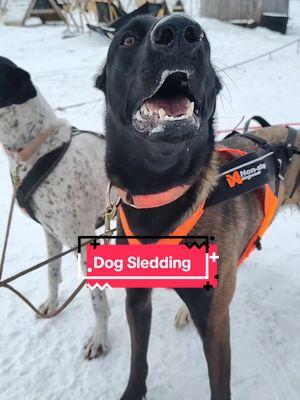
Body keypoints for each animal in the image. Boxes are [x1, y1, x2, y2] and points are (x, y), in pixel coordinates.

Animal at [0, 56, 110, 360]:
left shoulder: (83, 239)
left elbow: (97, 297)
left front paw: (99, 337)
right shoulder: (51, 233)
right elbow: (52, 273)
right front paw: (52, 305)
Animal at [95, 13, 300, 400]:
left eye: (203, 41)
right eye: (127, 39)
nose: (179, 31)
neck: (161, 192)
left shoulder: (216, 323)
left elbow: (219, 385)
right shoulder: (137, 299)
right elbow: (138, 360)